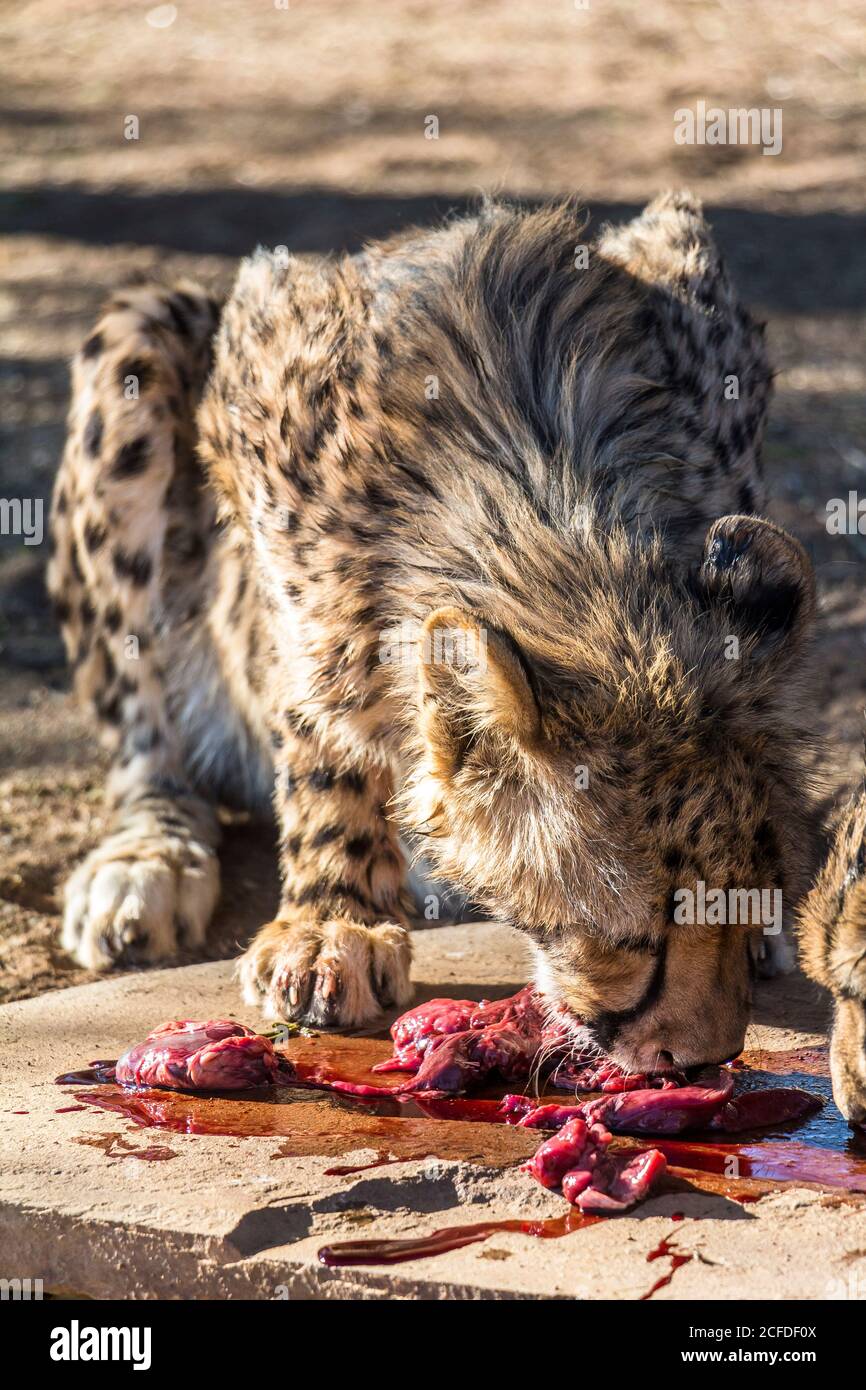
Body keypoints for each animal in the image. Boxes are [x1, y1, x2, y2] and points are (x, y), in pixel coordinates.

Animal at [47, 195, 834, 1078]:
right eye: (638, 935)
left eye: (757, 893)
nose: (704, 1060)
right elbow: (321, 715)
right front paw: (333, 920)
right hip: (140, 340)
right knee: (144, 741)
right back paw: (150, 858)